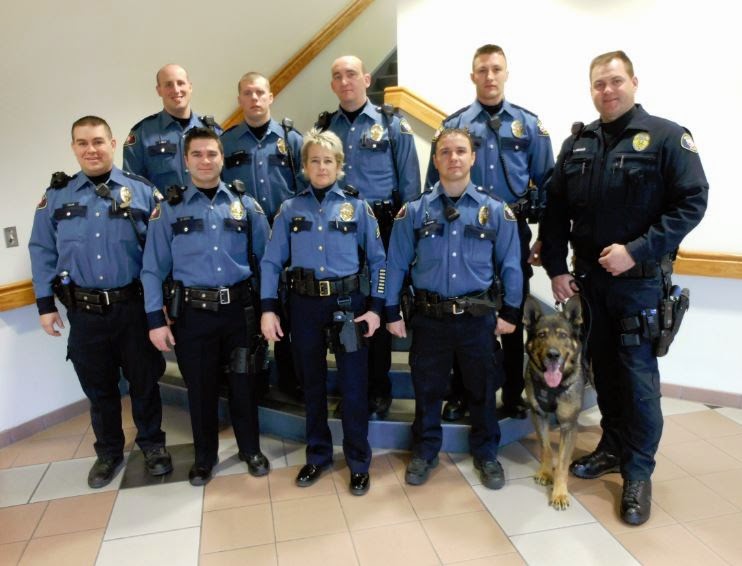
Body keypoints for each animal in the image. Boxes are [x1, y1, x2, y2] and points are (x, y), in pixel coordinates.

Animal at [522, 295, 586, 510]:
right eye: (541, 335)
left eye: (563, 335)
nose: (552, 354)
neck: (552, 387)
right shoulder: (539, 415)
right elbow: (546, 448)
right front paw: (545, 472)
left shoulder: (568, 425)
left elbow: (563, 463)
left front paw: (559, 493)